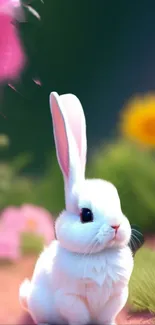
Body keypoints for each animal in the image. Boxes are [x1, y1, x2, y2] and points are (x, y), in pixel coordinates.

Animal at [19, 92, 133, 324]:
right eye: (86, 214)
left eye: (118, 204)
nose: (116, 225)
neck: (99, 255)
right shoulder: (70, 298)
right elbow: (79, 316)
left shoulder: (117, 296)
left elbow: (108, 316)